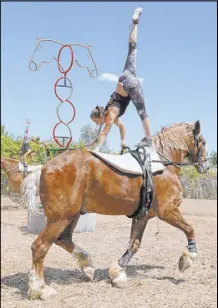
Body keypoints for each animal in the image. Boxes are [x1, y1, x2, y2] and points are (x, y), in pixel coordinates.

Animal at [24, 121, 209, 300]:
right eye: (203, 142)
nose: (206, 166)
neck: (161, 165)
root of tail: (45, 166)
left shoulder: (142, 217)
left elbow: (134, 244)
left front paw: (118, 272)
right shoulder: (168, 211)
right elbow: (190, 229)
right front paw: (188, 258)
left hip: (72, 216)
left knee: (64, 240)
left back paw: (87, 266)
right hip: (60, 218)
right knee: (40, 247)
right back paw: (40, 288)